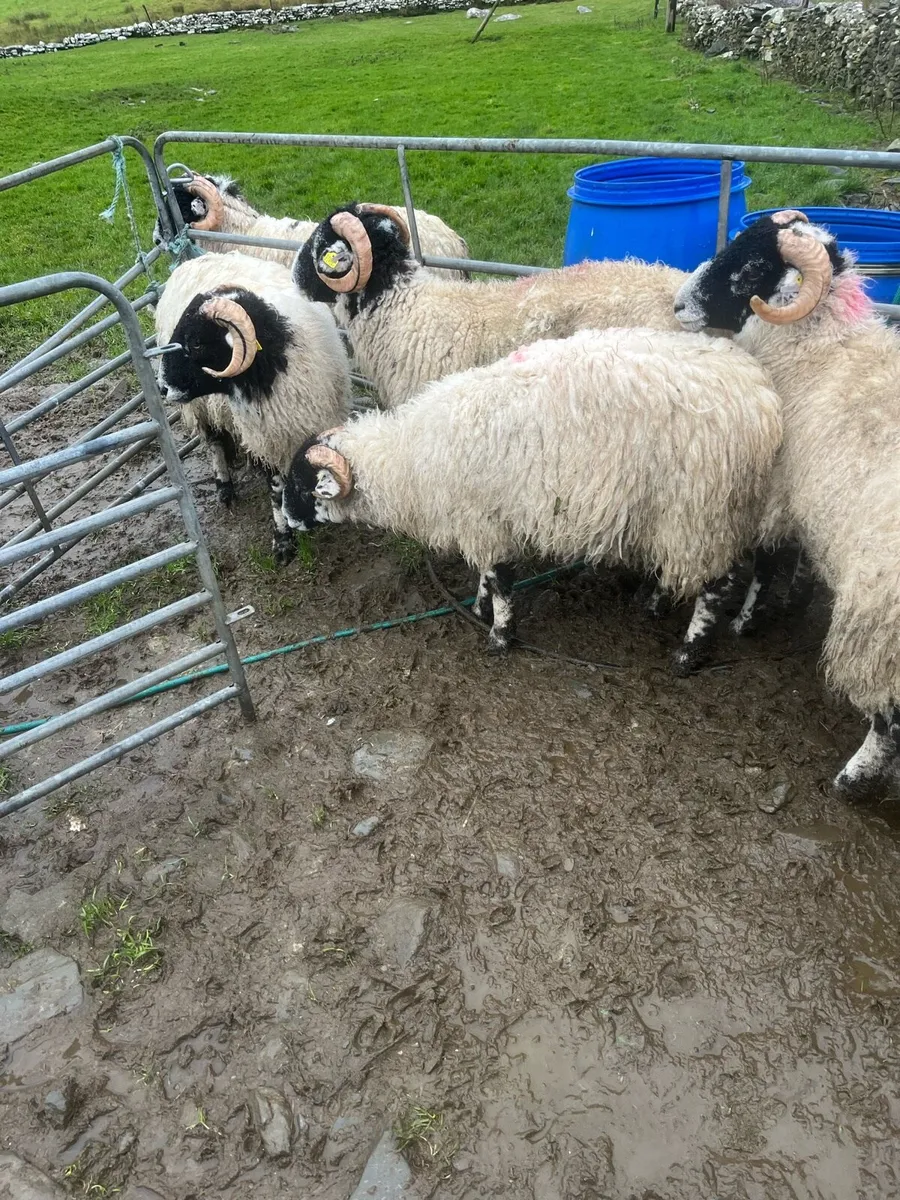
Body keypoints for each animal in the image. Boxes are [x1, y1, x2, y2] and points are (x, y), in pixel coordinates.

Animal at [154, 252, 352, 564]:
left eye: (196, 343)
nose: (161, 386)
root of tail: (195, 259)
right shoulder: (267, 441)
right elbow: (275, 489)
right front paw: (282, 541)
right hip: (202, 408)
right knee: (214, 442)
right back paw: (224, 487)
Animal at [279, 326, 782, 661]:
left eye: (303, 485)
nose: (284, 523)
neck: (409, 459)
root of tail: (761, 395)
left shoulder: (484, 518)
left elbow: (502, 581)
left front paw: (500, 636)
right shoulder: (484, 520)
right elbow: (486, 574)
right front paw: (479, 607)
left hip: (702, 509)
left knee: (716, 584)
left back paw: (689, 653)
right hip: (690, 514)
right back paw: (657, 603)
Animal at [673, 208, 900, 798]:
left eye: (753, 266)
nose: (677, 306)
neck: (817, 350)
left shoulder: (778, 489)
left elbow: (767, 559)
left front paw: (748, 621)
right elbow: (796, 562)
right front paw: (791, 601)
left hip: (879, 620)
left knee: (889, 718)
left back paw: (853, 779)